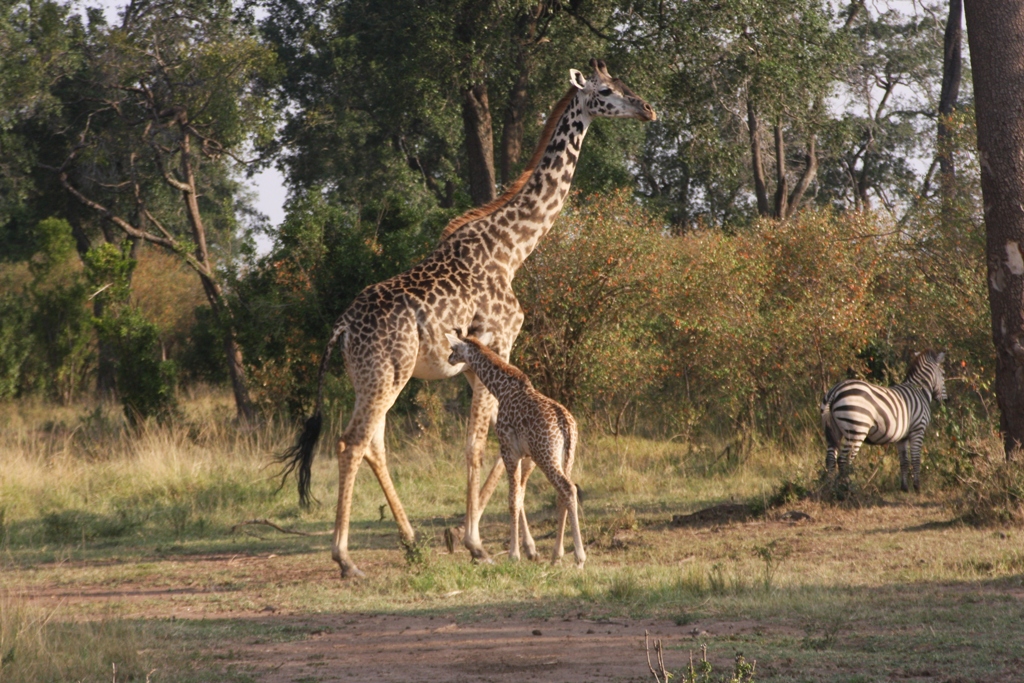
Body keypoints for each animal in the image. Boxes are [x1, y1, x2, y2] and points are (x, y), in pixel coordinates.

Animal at [446, 331, 586, 567]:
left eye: (453, 349)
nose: (449, 359)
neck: (502, 389)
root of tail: (566, 423)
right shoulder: (524, 455)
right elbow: (520, 497)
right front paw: (526, 551)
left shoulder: (509, 451)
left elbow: (512, 500)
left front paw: (514, 555)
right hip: (567, 456)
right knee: (563, 495)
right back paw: (556, 556)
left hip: (546, 456)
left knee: (568, 489)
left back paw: (579, 557)